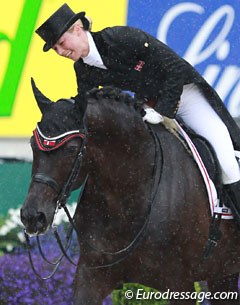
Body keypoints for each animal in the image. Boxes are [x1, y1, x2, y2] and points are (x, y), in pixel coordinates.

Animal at [21, 81, 240, 304]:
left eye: (72, 149)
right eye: (32, 144)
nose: (33, 217)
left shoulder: (181, 283)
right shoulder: (91, 275)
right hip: (223, 274)